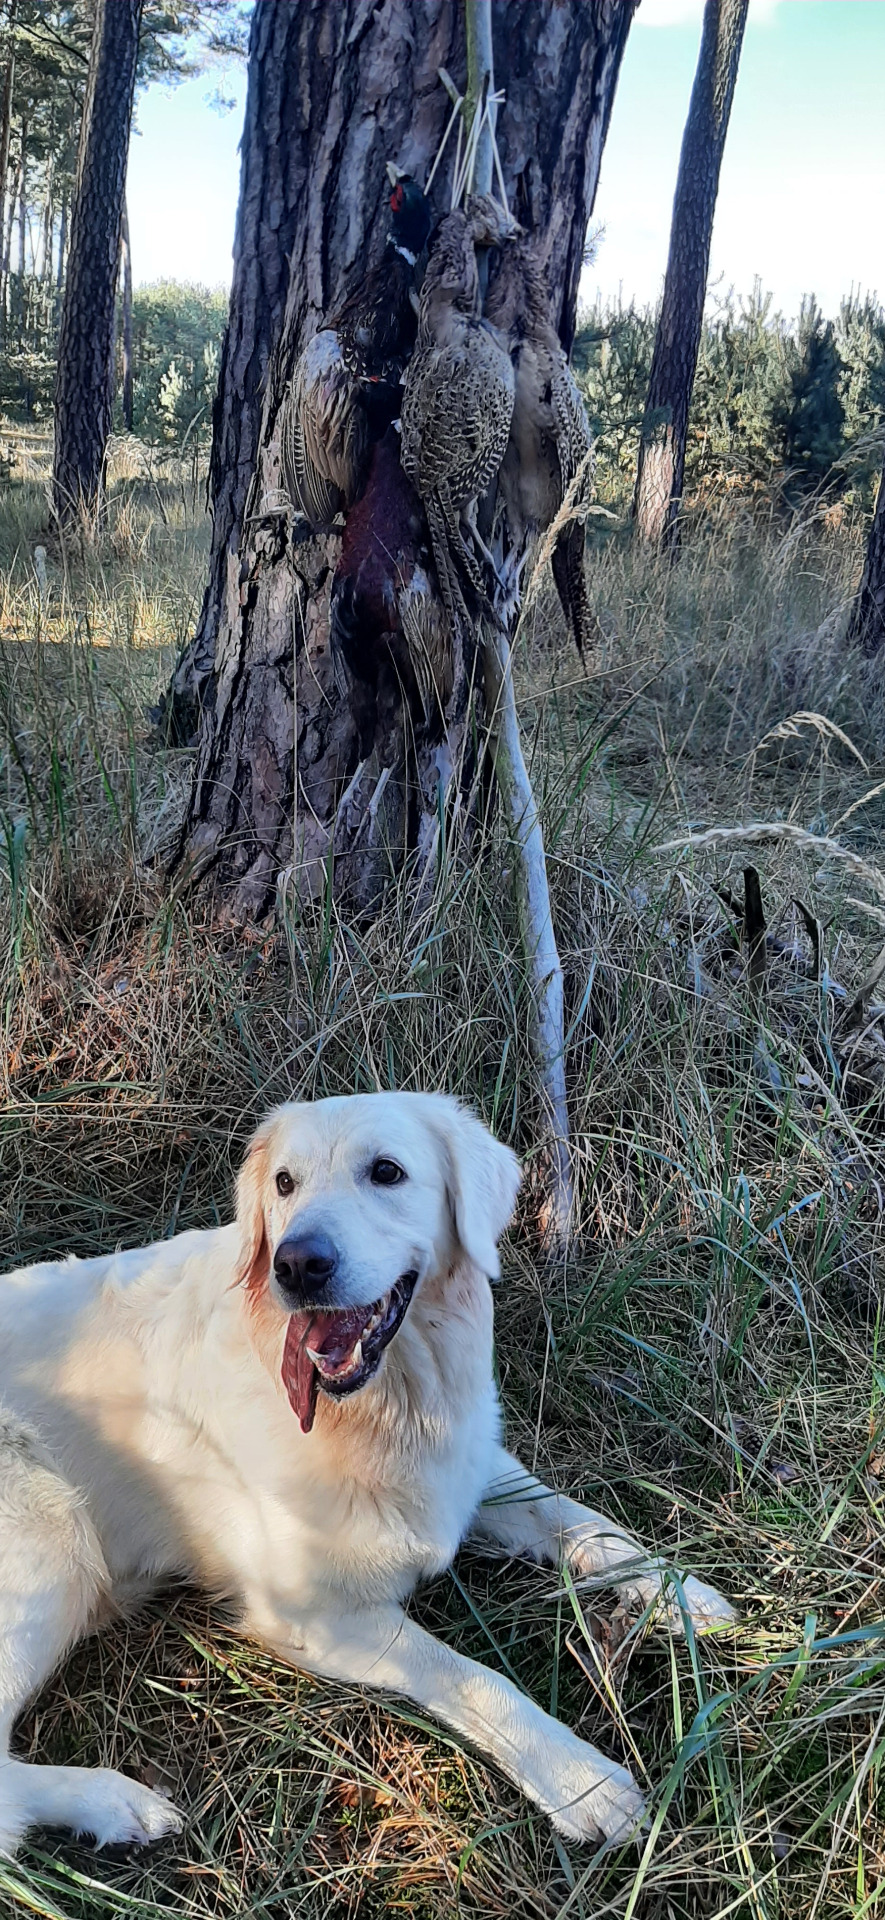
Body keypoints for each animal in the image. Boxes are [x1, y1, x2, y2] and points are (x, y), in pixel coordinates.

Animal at [0, 1093, 734, 1857]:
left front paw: (684, 1595)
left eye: (386, 1171)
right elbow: (472, 1678)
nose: (297, 1264)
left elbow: (584, 1522)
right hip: (52, 1528)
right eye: (284, 1183)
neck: (384, 1410)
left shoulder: (469, 1468)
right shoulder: (317, 1616)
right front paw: (581, 1779)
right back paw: (115, 1804)